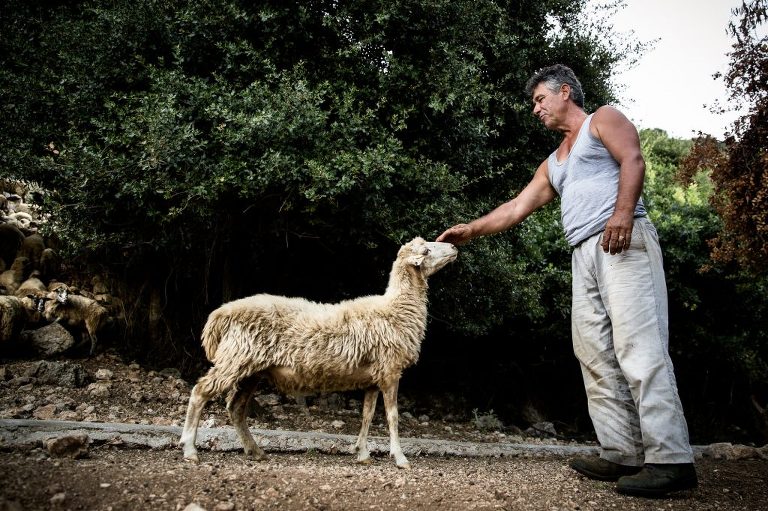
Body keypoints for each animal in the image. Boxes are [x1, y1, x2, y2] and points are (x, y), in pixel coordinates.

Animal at [179, 237, 458, 468]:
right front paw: (400, 458)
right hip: (236, 359)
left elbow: (367, 415)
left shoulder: (373, 377)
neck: (396, 309)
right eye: (427, 250)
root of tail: (222, 313)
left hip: (250, 369)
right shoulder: (390, 371)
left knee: (236, 408)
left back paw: (255, 451)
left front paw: (362, 453)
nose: (455, 247)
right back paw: (190, 448)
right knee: (200, 391)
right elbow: (393, 417)